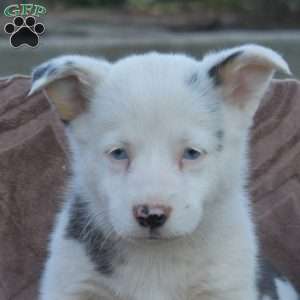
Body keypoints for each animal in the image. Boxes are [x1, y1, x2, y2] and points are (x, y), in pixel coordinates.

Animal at [29, 44, 298, 300]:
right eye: (118, 153)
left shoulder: (224, 285)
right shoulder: (72, 284)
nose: (151, 215)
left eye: (192, 153)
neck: (155, 258)